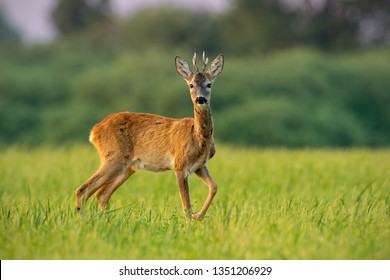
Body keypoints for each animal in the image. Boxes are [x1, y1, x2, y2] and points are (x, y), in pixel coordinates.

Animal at [74, 51, 224, 220]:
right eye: (191, 85)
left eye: (209, 84)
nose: (200, 99)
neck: (199, 139)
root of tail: (95, 130)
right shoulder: (180, 165)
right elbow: (186, 205)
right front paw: (192, 220)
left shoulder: (200, 165)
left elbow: (214, 187)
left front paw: (198, 215)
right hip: (114, 157)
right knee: (83, 190)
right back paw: (82, 221)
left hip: (128, 166)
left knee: (101, 194)